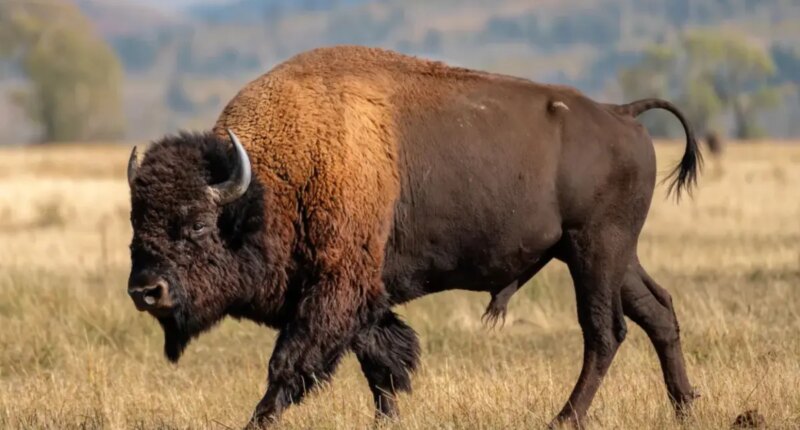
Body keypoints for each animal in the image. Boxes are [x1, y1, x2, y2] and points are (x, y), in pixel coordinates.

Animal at [126, 45, 701, 428]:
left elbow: (292, 363)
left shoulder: (335, 291)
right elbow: (382, 362)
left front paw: (257, 420)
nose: (146, 291)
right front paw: (388, 418)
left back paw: (565, 418)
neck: (276, 182)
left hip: (594, 250)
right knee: (658, 312)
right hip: (611, 255)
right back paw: (685, 405)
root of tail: (621, 114)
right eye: (136, 225)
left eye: (198, 225)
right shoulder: (361, 296)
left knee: (604, 331)